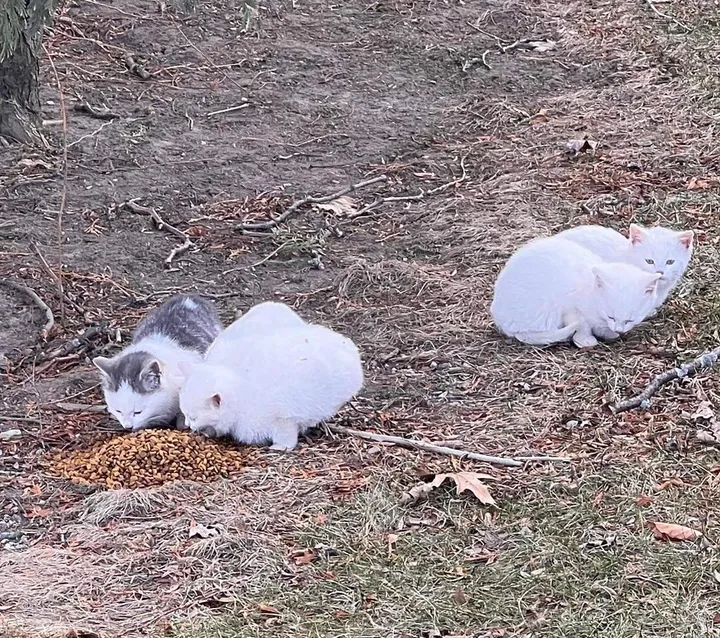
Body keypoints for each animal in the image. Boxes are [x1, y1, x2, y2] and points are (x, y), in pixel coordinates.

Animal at [178, 308, 362, 452]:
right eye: (185, 414)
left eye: (193, 417)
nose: (188, 426)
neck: (241, 391)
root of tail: (347, 345)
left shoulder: (284, 419)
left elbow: (286, 436)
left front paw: (280, 447)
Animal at [490, 235, 664, 348]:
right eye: (611, 316)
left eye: (630, 320)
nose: (618, 329)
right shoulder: (571, 309)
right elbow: (582, 324)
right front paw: (586, 339)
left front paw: (608, 332)